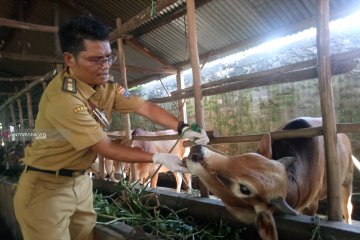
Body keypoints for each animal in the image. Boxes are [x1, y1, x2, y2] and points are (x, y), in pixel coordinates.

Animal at [187, 117, 352, 240]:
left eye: (244, 189)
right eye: (246, 156)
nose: (197, 151)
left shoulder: (312, 205)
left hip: (346, 182)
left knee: (348, 207)